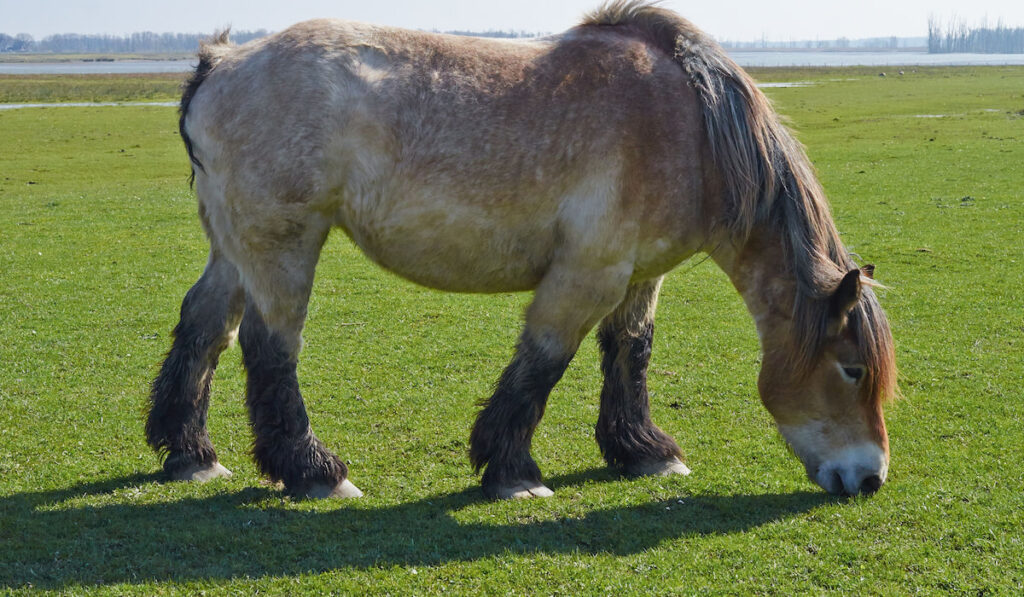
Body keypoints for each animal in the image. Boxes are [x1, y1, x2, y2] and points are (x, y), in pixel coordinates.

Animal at [144, 1, 897, 499]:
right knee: (269, 346)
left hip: (235, 249)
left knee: (204, 329)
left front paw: (641, 451)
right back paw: (312, 470)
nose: (869, 477)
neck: (690, 128)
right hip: (284, 246)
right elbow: (544, 362)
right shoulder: (587, 275)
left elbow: (630, 354)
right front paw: (511, 471)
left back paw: (189, 455)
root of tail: (222, 62)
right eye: (852, 368)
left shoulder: (639, 276)